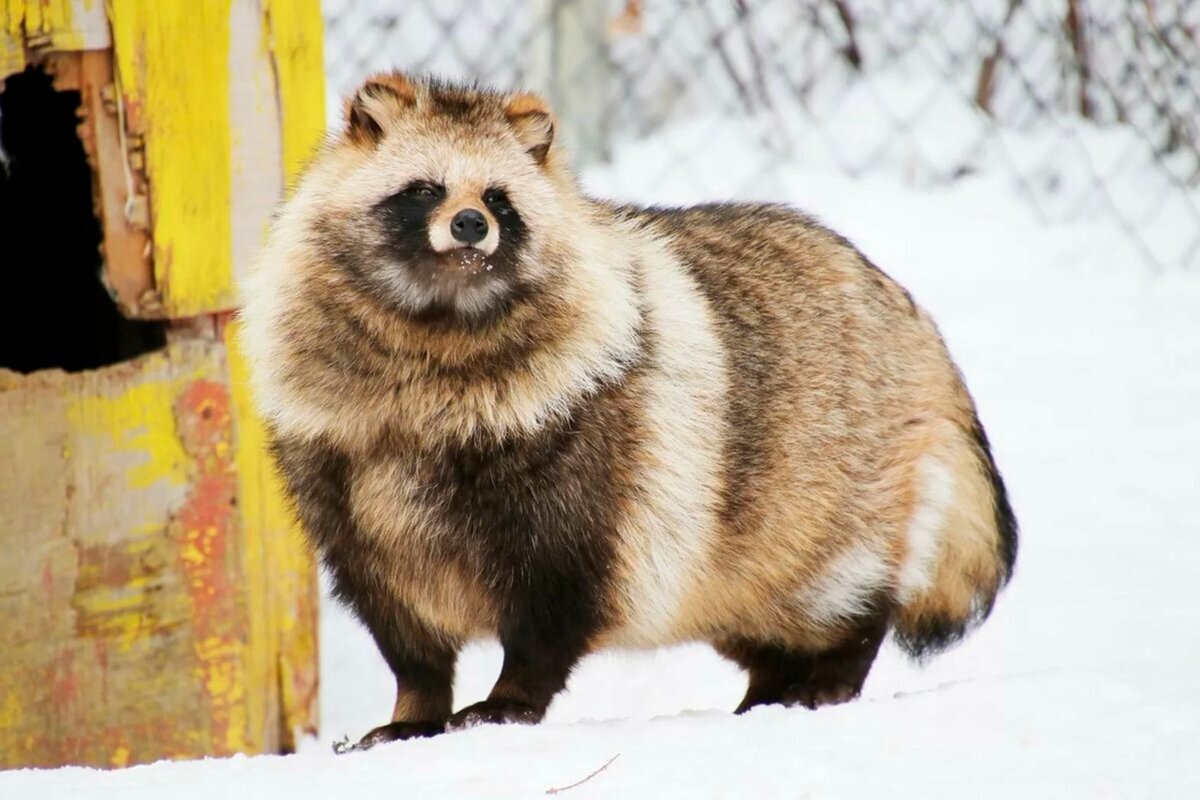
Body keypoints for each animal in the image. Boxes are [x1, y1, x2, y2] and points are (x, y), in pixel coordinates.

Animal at [238, 71, 1017, 748]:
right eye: (424, 188)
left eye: (497, 198)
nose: (468, 226)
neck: (438, 330)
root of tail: (915, 322)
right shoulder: (347, 488)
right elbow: (405, 635)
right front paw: (417, 708)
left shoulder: (589, 461)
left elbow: (553, 605)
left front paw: (510, 698)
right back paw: (770, 683)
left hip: (833, 497)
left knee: (843, 595)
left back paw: (832, 669)